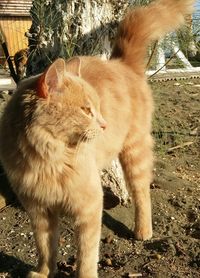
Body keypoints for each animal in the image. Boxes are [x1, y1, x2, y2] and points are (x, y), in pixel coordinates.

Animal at [0, 0, 195, 278]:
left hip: (134, 151)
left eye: (97, 108)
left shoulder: (89, 205)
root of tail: (121, 62)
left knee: (142, 192)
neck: (48, 157)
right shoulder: (38, 209)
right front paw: (43, 272)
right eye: (86, 110)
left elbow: (86, 255)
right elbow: (45, 247)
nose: (104, 125)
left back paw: (143, 231)